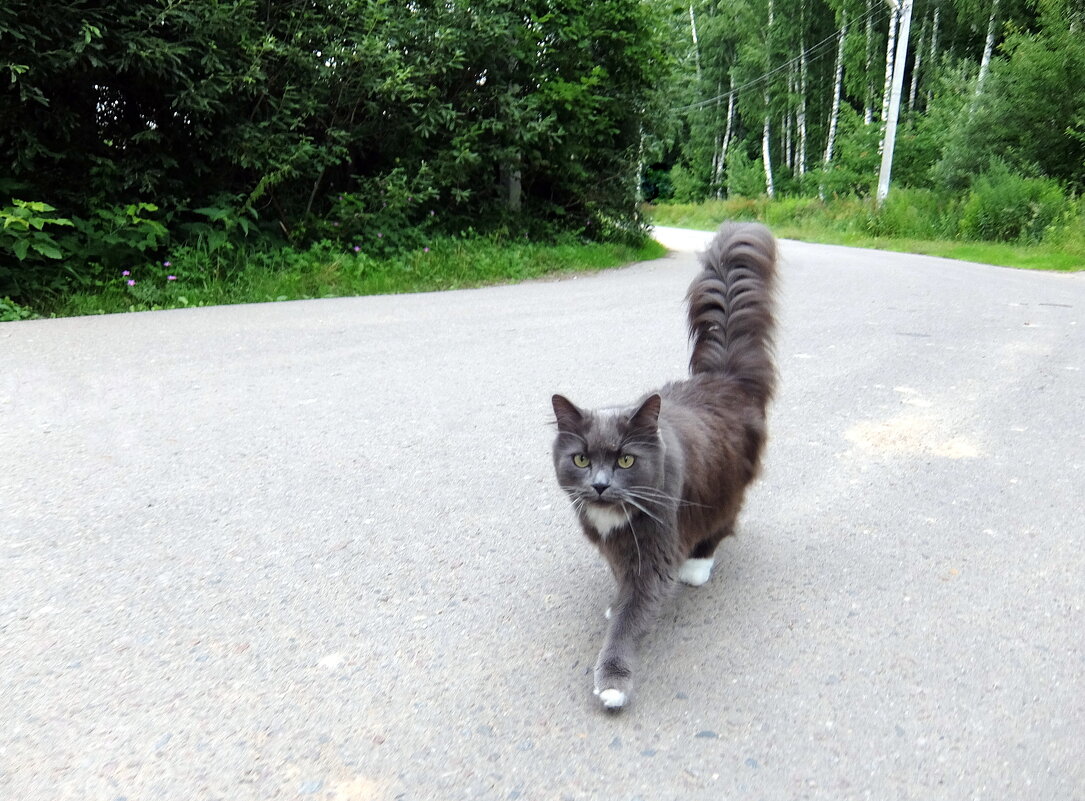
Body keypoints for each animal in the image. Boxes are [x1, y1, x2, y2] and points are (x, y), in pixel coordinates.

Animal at [551, 220, 781, 703]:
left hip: (723, 486)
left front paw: (612, 681)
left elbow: (631, 617)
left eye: (625, 460)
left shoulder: (655, 551)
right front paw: (614, 603)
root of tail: (724, 378)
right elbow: (622, 591)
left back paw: (696, 567)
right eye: (581, 459)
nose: (599, 484)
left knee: (723, 521)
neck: (613, 520)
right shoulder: (617, 551)